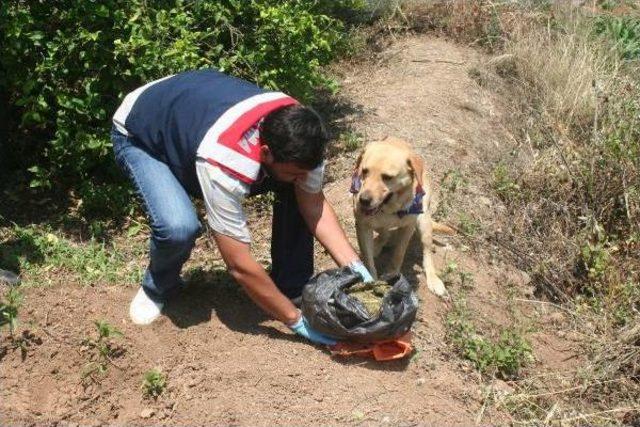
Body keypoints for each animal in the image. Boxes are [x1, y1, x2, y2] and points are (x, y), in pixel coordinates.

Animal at [350, 137, 450, 298]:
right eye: (364, 171)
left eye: (387, 177)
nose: (363, 200)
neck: (390, 209)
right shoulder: (362, 226)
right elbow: (368, 258)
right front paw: (371, 281)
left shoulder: (408, 227)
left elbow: (399, 253)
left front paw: (392, 273)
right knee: (384, 234)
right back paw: (379, 244)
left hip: (423, 222)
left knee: (427, 252)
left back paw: (434, 280)